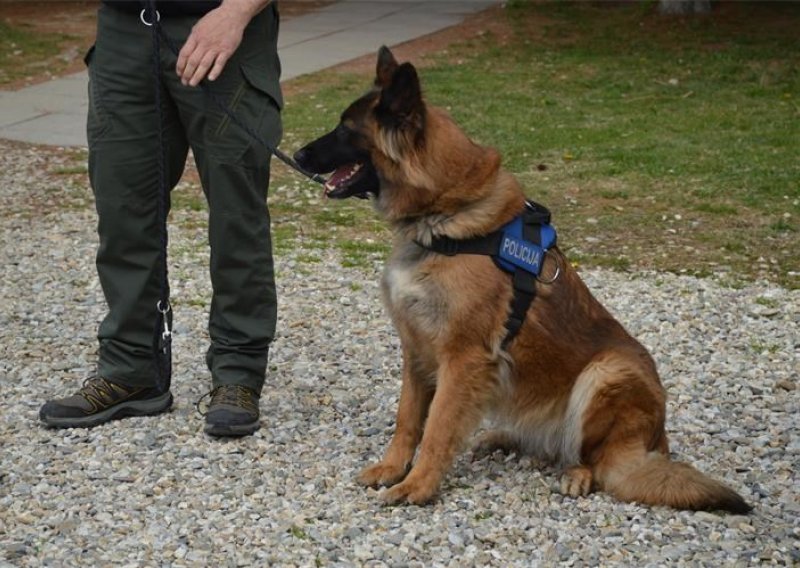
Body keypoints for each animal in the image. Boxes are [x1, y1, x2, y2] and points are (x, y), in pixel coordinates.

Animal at [294, 46, 752, 512]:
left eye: (345, 129)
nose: (296, 155)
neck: (446, 217)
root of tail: (657, 442)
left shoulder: (462, 357)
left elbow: (437, 426)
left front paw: (417, 485)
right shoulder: (417, 348)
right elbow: (408, 417)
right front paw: (392, 468)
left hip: (607, 372)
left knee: (600, 462)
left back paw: (578, 474)